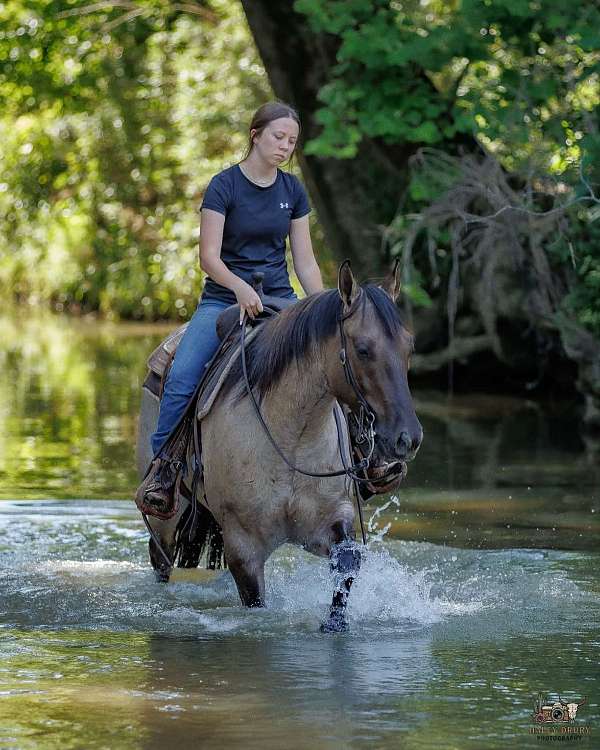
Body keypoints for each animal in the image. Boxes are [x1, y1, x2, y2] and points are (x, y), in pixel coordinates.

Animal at [136, 260, 422, 632]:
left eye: (409, 347)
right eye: (362, 349)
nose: (408, 438)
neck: (292, 436)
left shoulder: (326, 521)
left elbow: (347, 560)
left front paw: (334, 624)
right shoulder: (243, 547)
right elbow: (255, 600)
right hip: (165, 520)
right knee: (161, 559)